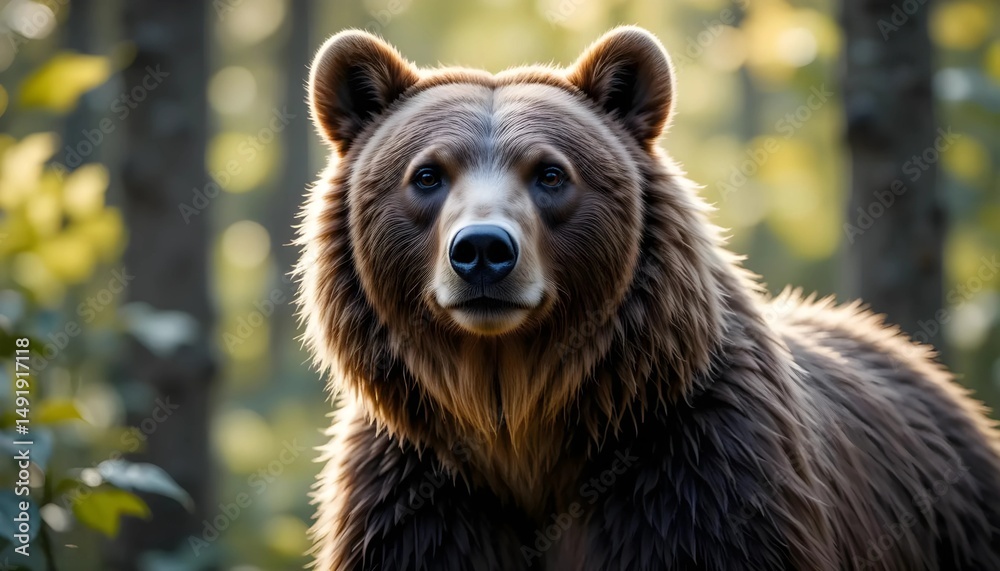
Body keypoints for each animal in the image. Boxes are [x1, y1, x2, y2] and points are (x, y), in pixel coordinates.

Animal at [295, 26, 1000, 571]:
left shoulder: (695, 475)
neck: (519, 425)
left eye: (551, 173)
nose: (484, 252)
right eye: (427, 174)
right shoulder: (418, 497)